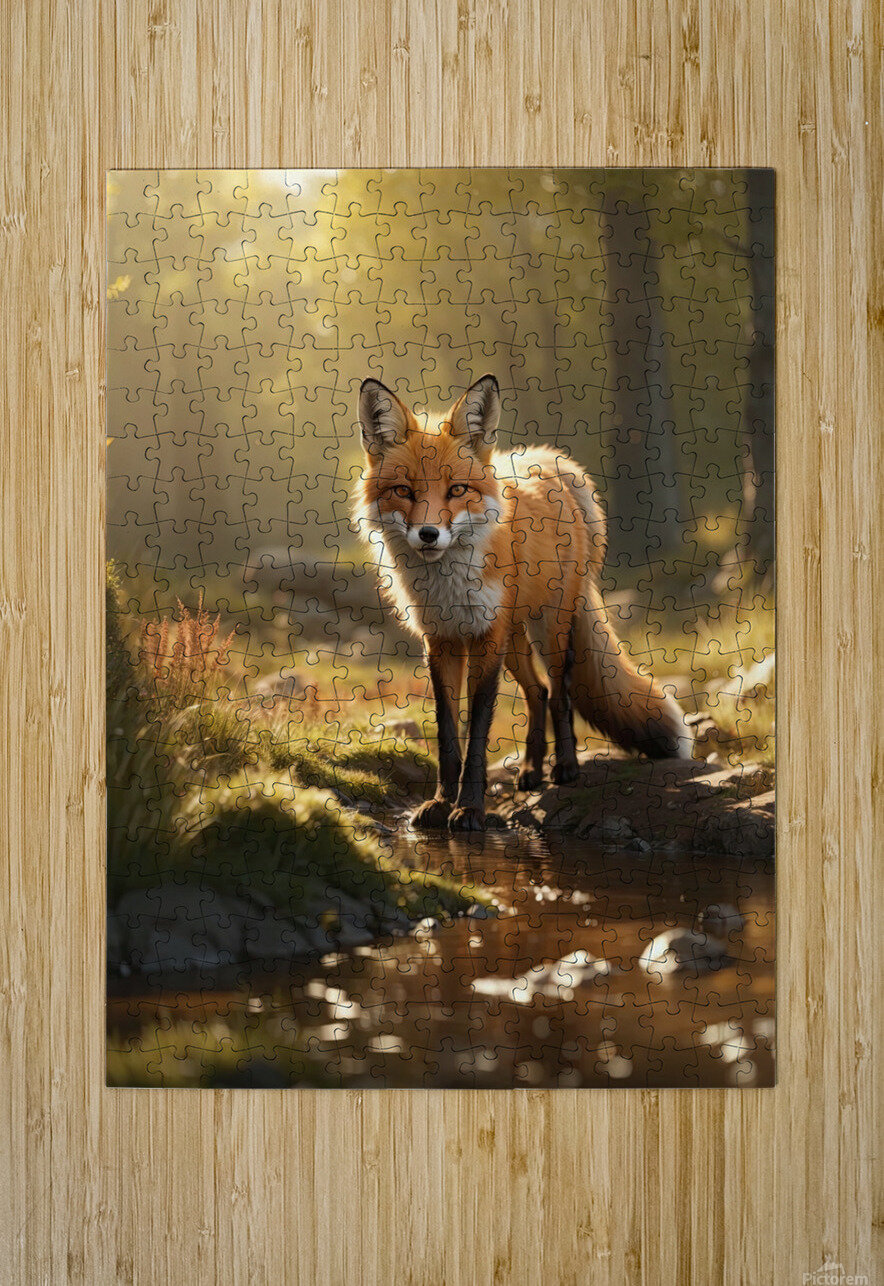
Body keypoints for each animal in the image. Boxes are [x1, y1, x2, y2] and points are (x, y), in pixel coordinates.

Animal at [355, 374, 693, 832]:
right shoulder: (442, 640)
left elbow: (478, 732)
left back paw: (565, 768)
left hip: (550, 628)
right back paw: (532, 770)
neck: (447, 585)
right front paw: (442, 802)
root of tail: (549, 462)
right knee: (537, 692)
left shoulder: (485, 639)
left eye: (457, 490)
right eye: (403, 491)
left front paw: (470, 809)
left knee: (559, 692)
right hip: (514, 641)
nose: (428, 534)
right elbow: (447, 734)